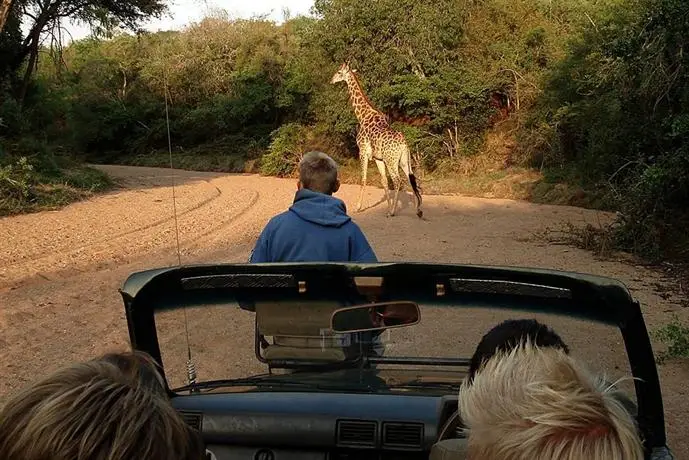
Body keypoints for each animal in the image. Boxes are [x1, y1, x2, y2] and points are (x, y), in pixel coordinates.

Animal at [330, 62, 422, 218]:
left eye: (339, 72)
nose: (331, 80)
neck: (363, 115)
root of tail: (404, 145)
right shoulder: (378, 158)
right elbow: (383, 181)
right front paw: (387, 207)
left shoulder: (362, 151)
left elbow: (363, 178)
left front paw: (358, 207)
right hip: (404, 160)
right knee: (411, 179)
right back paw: (417, 210)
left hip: (392, 161)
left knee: (398, 181)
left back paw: (393, 212)